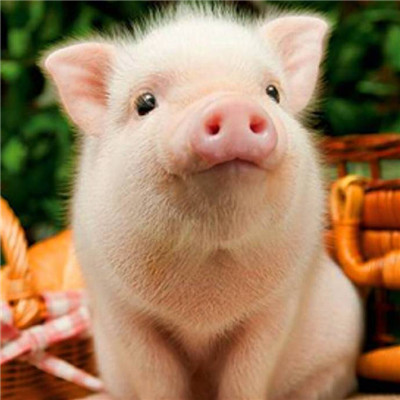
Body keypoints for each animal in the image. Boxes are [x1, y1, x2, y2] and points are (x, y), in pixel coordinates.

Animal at [43, 5, 366, 400]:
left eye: (272, 92)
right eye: (144, 103)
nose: (232, 106)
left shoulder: (276, 307)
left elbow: (247, 376)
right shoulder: (123, 310)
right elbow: (157, 378)